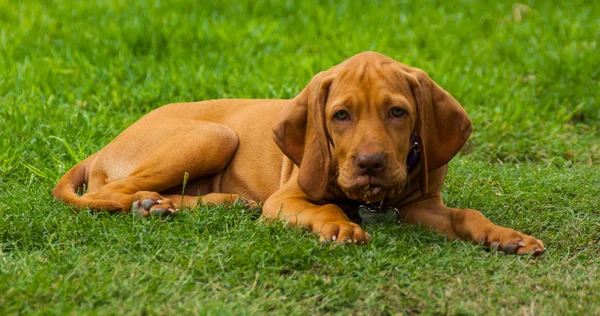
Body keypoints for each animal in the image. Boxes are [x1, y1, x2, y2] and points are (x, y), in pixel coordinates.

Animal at [54, 50, 548, 256]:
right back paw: (159, 204)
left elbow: (466, 214)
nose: (370, 164)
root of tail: (102, 148)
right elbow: (323, 207)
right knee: (109, 193)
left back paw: (181, 205)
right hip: (216, 135)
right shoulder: (286, 198)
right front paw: (339, 227)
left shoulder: (422, 205)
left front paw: (506, 236)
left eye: (398, 112)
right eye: (340, 115)